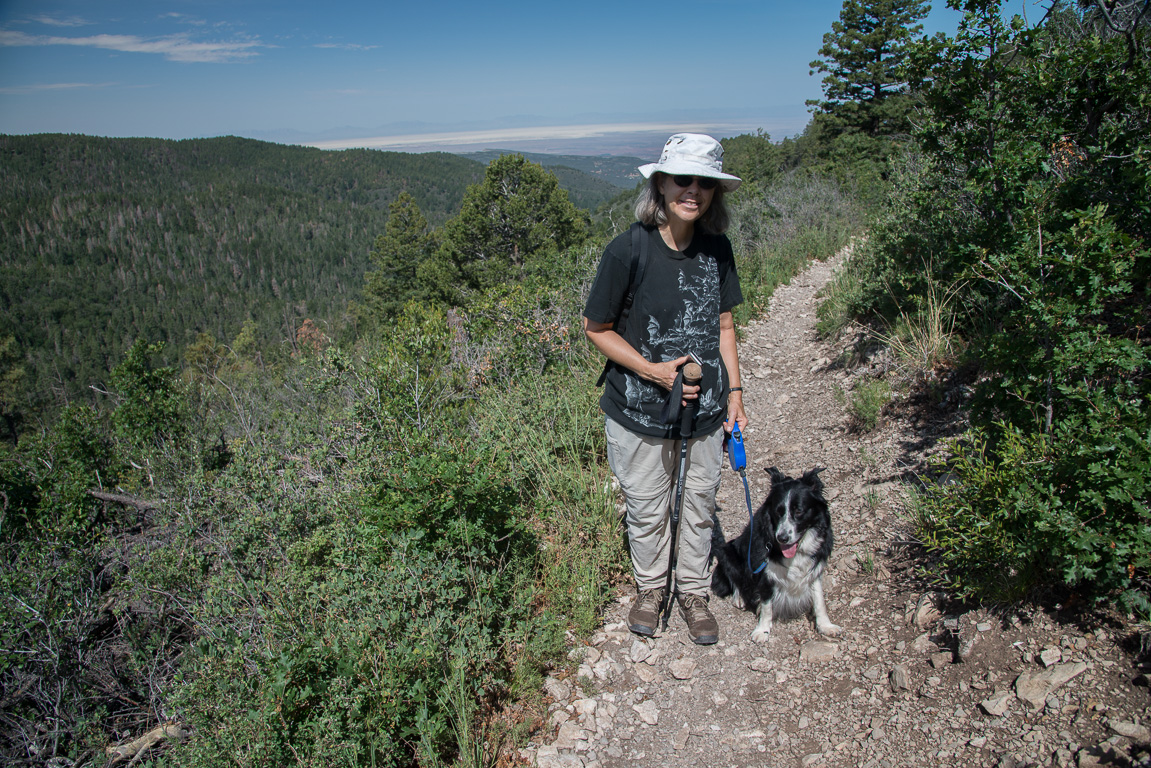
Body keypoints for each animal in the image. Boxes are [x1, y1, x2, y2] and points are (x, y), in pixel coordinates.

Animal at [704, 469, 842, 644]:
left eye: (799, 511)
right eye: (778, 511)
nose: (782, 538)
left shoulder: (814, 567)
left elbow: (819, 599)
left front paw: (825, 625)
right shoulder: (763, 570)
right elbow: (766, 604)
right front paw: (762, 630)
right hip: (728, 552)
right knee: (735, 579)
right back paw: (739, 597)